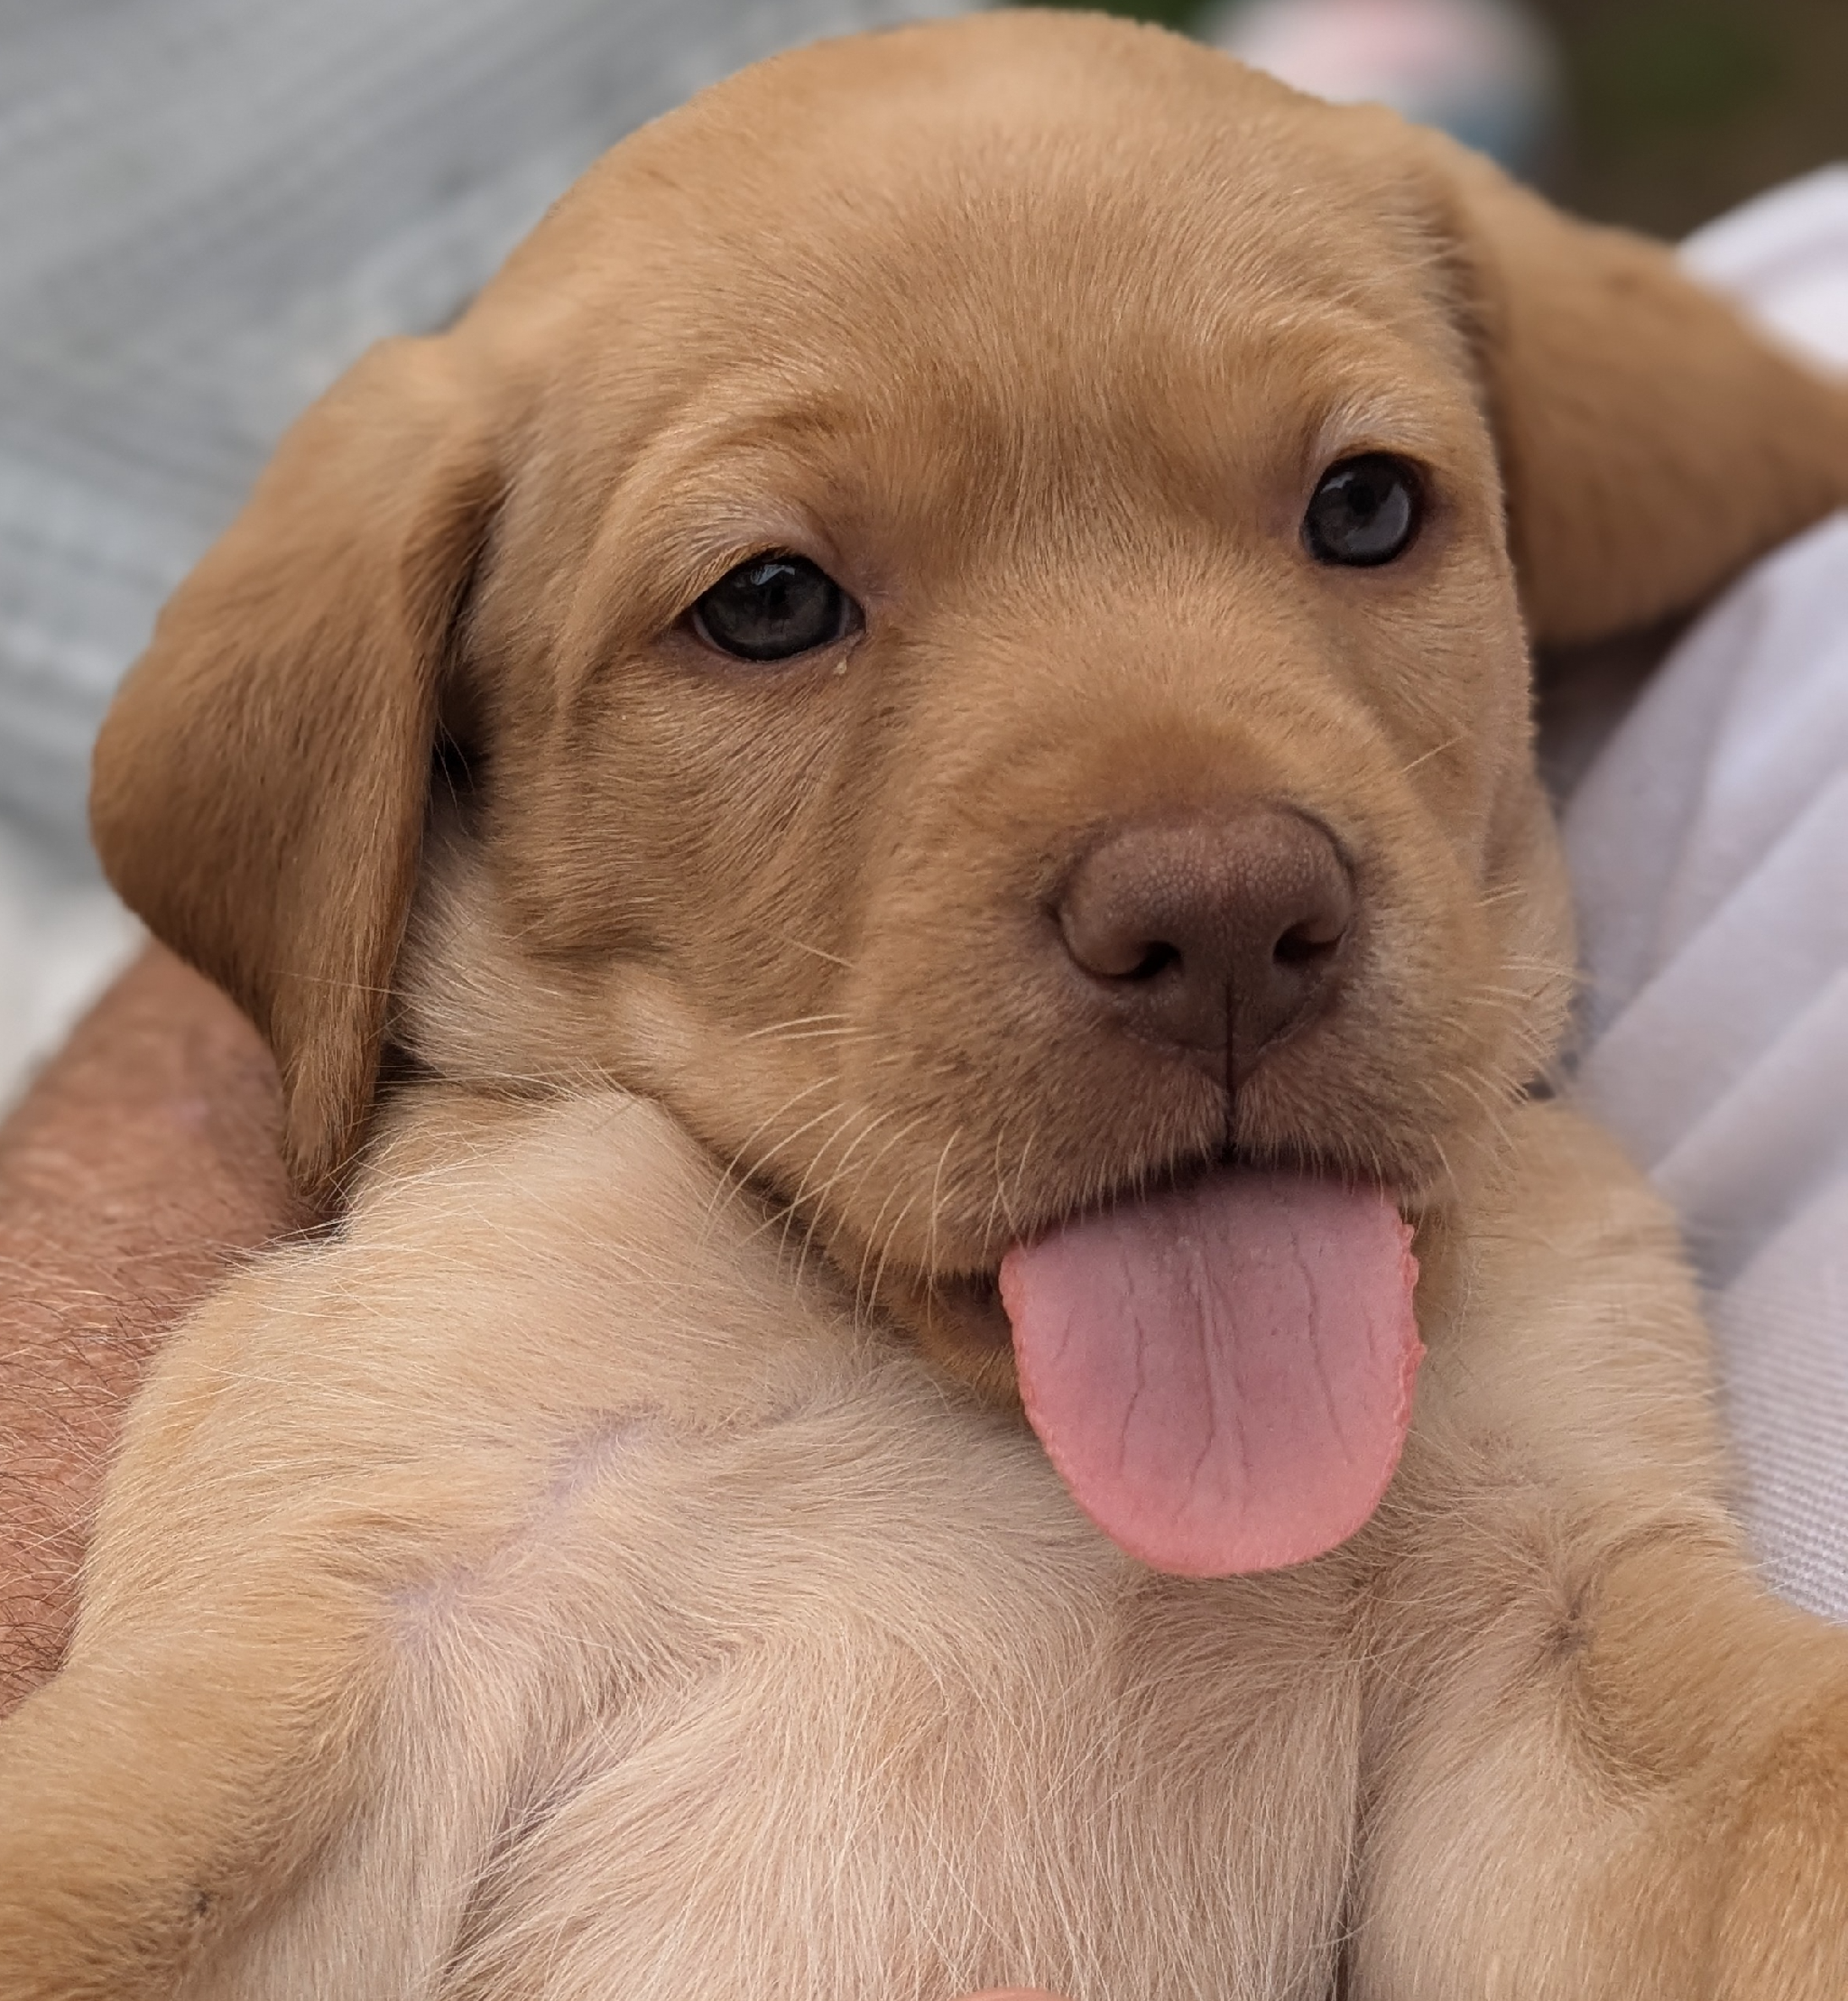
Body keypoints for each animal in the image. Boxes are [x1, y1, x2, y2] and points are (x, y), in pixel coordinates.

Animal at [4, 15, 1848, 2001]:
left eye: (1365, 506)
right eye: (766, 601)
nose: (1222, 921)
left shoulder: (1554, 1662)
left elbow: (1796, 1775)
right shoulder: (326, 1622)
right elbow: (77, 1862)